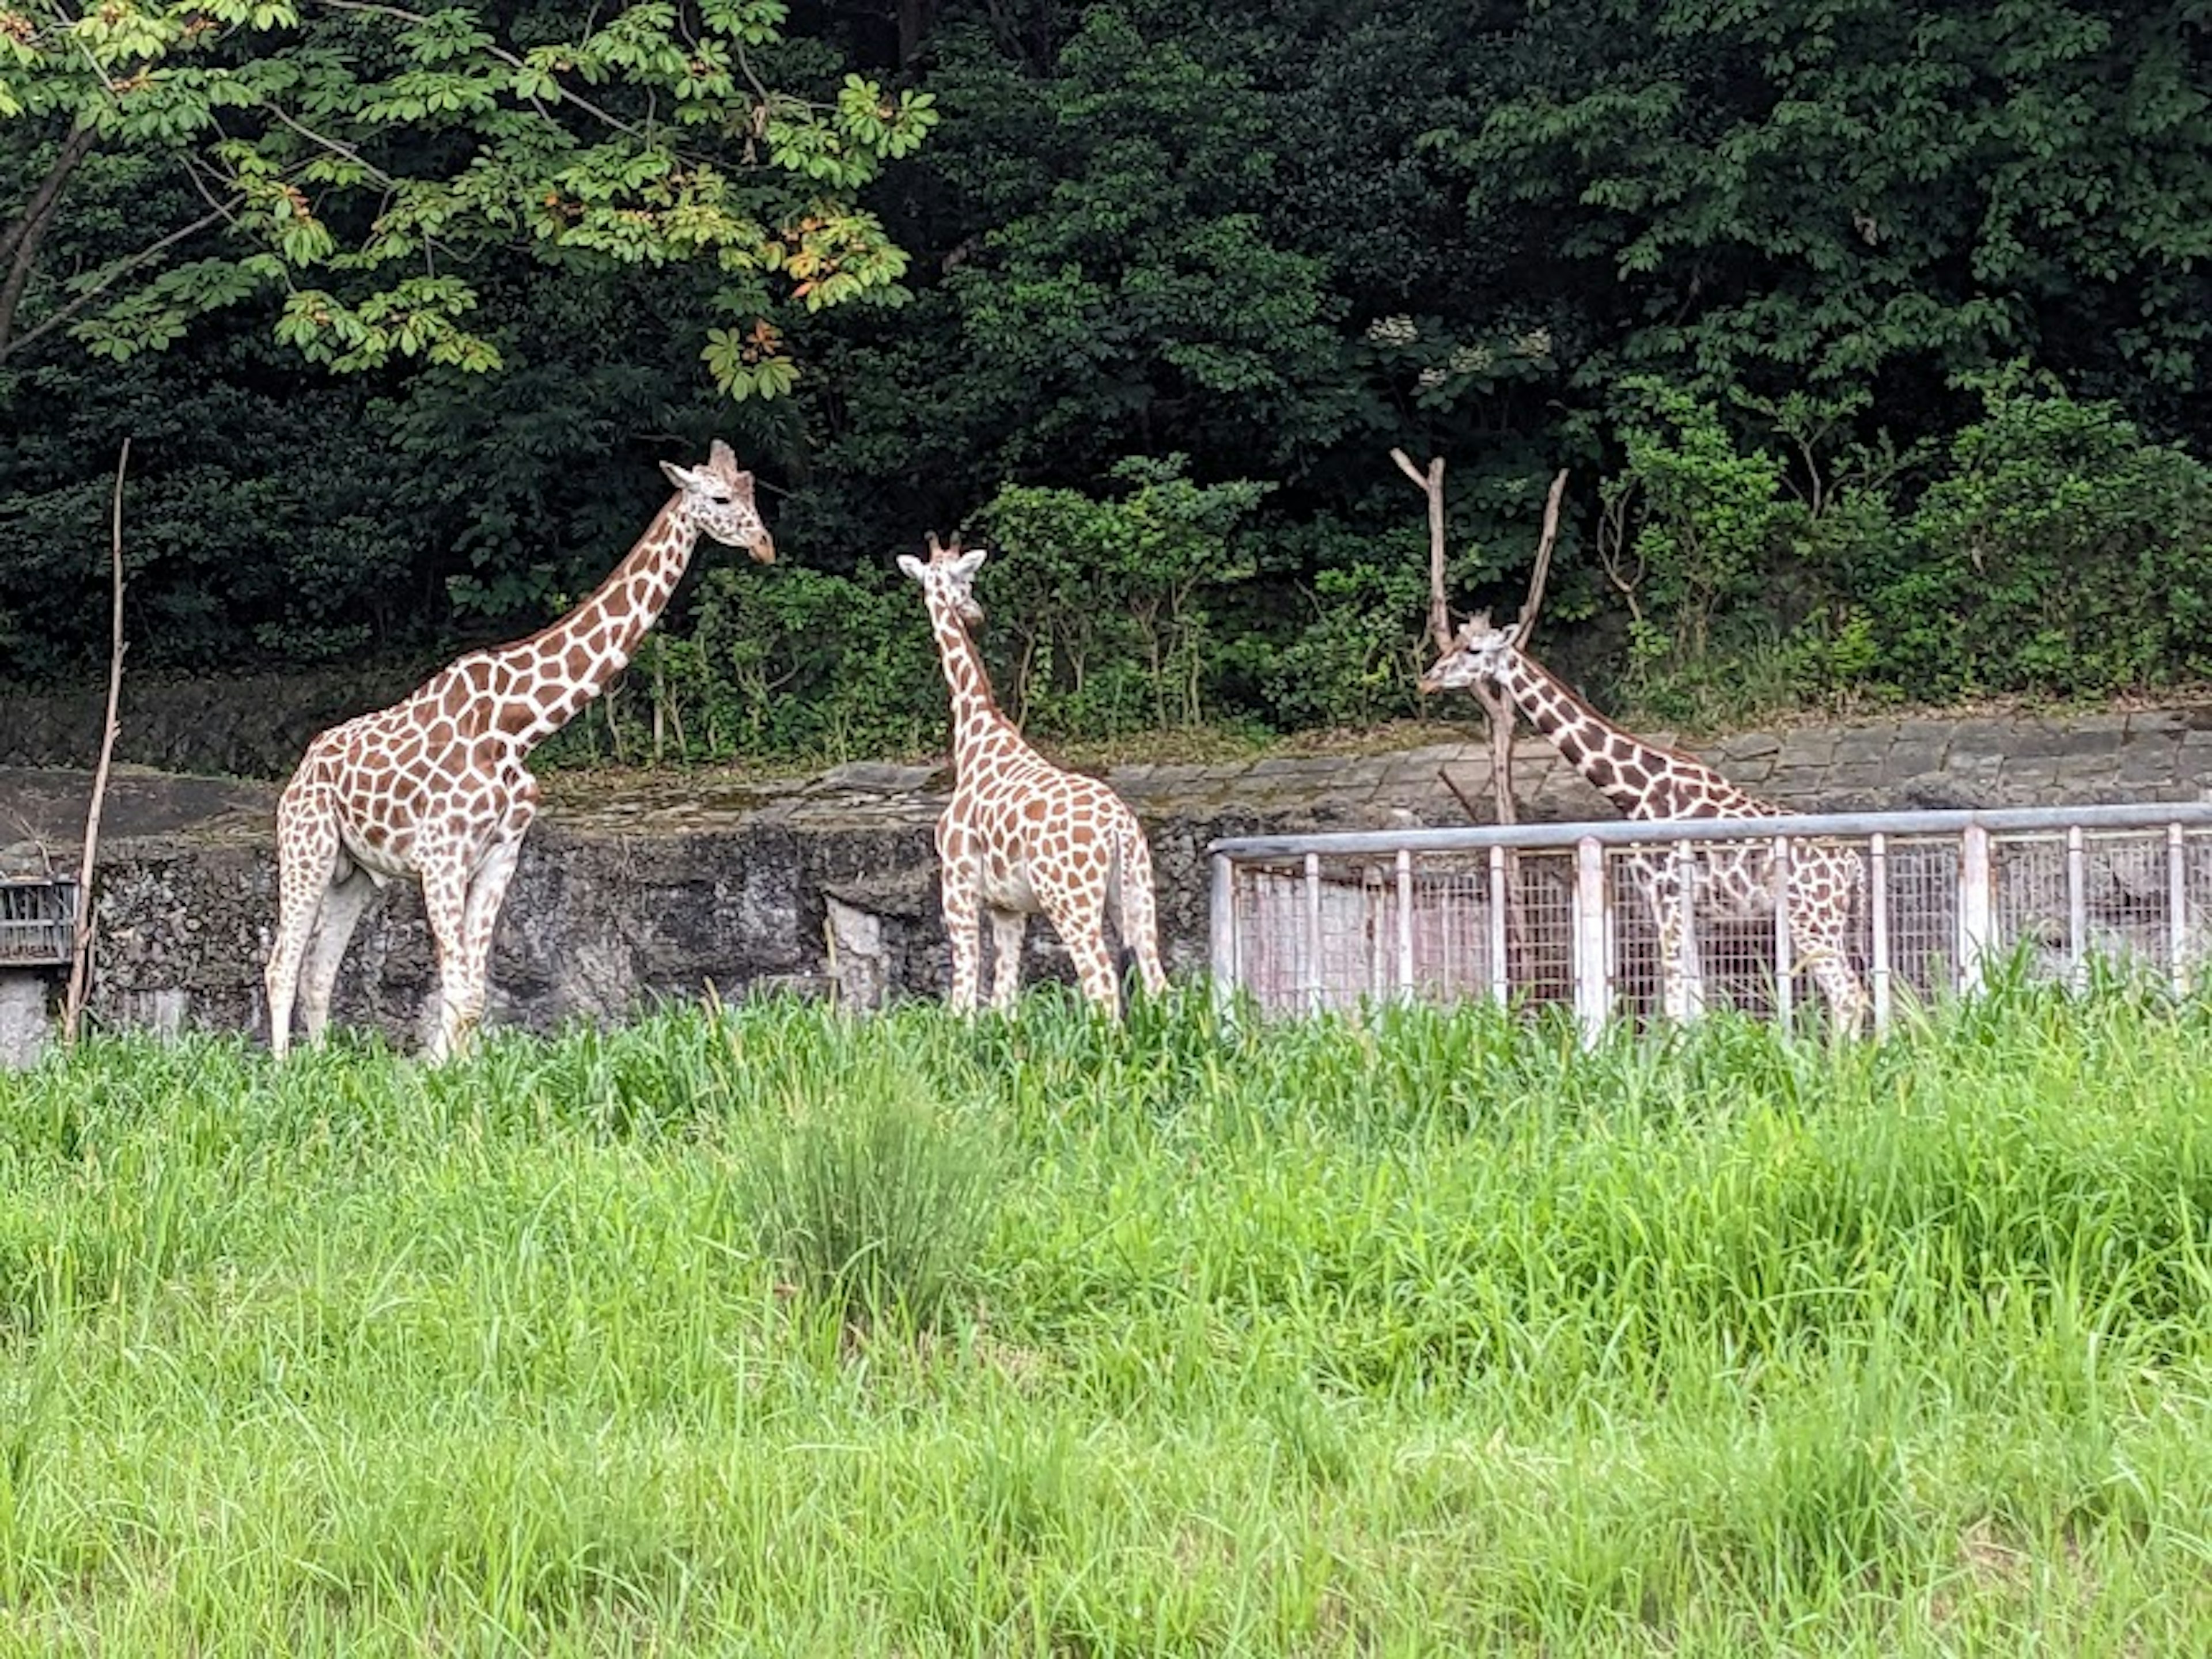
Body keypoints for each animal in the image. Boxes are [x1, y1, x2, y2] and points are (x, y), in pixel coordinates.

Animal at [266, 438, 774, 1066]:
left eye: (753, 490)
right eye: (721, 498)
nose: (765, 545)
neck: (518, 728)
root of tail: (302, 767)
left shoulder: (500, 854)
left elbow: (472, 993)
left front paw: (455, 1074)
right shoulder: (441, 857)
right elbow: (460, 989)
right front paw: (440, 1074)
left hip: (354, 873)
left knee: (319, 971)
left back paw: (320, 1063)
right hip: (305, 847)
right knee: (282, 965)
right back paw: (284, 1072)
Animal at [898, 539, 1176, 1022]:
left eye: (967, 579)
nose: (975, 613)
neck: (975, 737)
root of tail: (1119, 828)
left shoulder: (957, 883)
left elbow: (964, 990)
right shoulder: (1008, 906)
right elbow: (1005, 998)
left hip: (1070, 899)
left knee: (1102, 984)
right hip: (1137, 890)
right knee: (1159, 983)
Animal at [1415, 619, 1866, 1035]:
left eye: (1473, 650)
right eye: (1454, 644)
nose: (1427, 679)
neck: (1637, 791)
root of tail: (1853, 866)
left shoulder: (1663, 893)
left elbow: (1675, 1002)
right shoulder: (1683, 902)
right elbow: (1694, 1001)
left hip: (1811, 919)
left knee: (1848, 994)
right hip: (1829, 921)